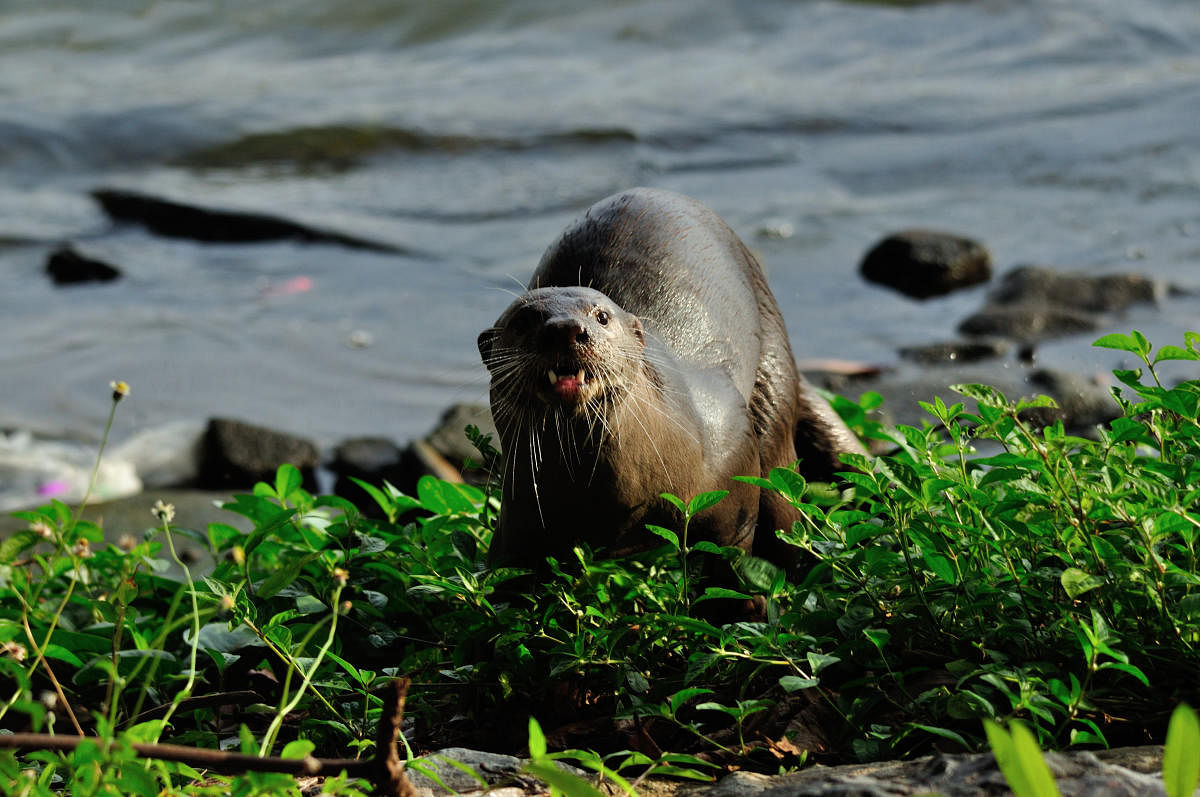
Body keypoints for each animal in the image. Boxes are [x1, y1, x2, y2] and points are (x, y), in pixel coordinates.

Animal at [477, 188, 864, 566]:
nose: (566, 329)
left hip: (774, 386)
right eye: (523, 320)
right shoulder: (515, 533)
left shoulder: (733, 476)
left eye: (601, 316)